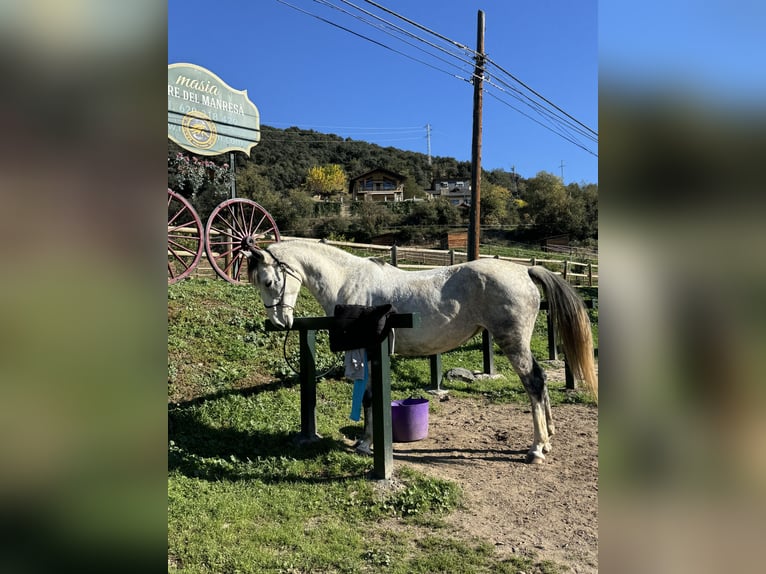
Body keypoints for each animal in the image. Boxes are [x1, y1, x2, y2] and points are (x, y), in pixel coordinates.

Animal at [244, 238, 600, 464]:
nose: (279, 322)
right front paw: (366, 442)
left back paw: (537, 448)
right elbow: (370, 397)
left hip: (513, 343)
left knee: (535, 383)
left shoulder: (367, 349)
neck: (349, 281)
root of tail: (523, 270)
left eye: (268, 281)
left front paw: (365, 444)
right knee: (541, 383)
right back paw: (549, 436)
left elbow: (369, 398)